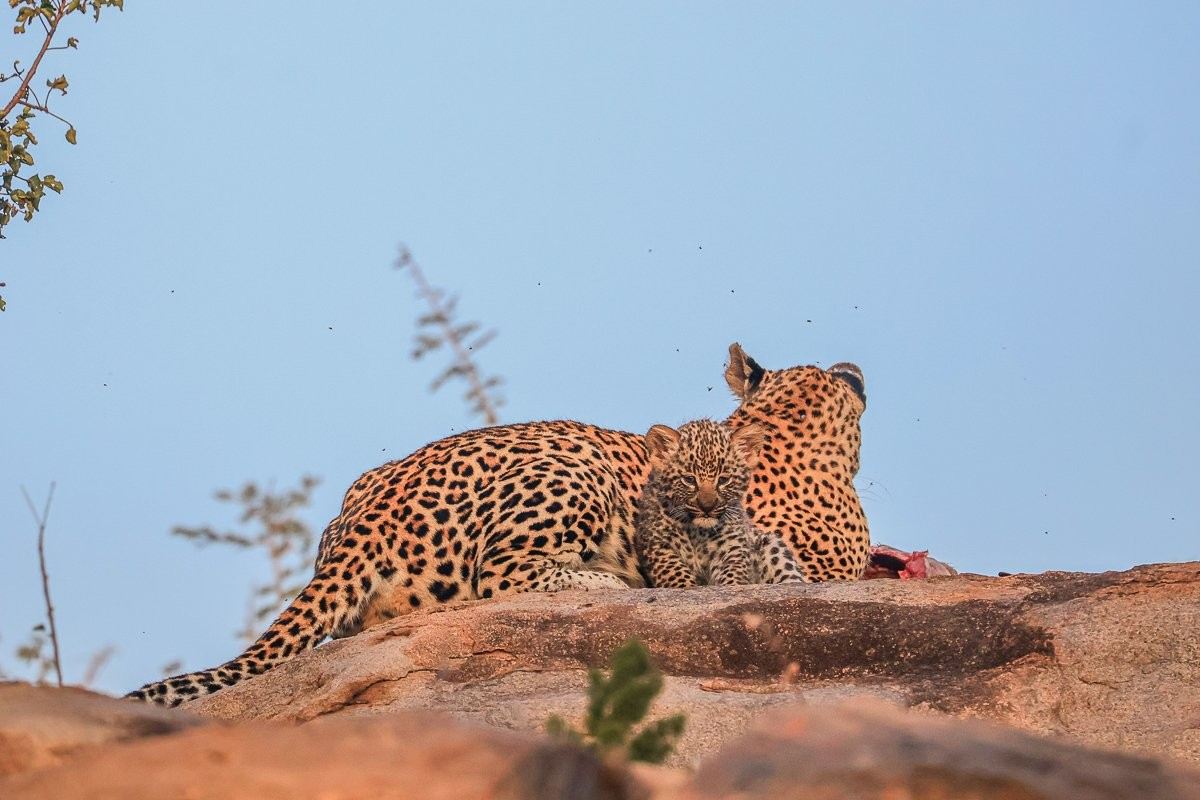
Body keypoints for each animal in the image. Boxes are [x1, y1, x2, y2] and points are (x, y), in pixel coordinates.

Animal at [635, 418, 807, 587]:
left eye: (723, 480)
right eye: (689, 479)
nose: (707, 507)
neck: (697, 532)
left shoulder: (733, 546)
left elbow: (733, 574)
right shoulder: (657, 545)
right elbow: (675, 573)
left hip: (769, 543)